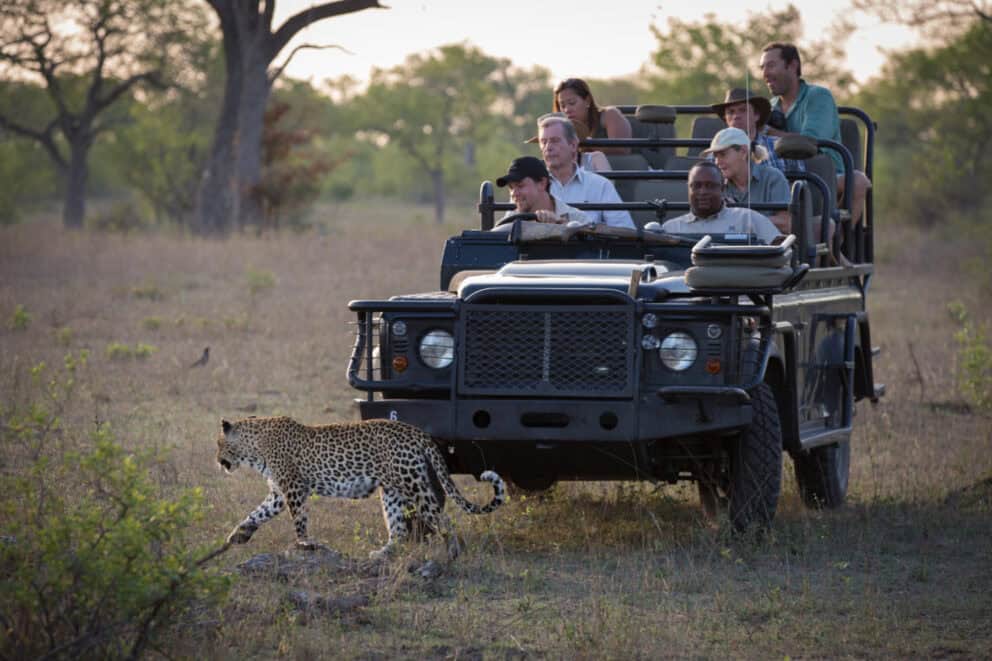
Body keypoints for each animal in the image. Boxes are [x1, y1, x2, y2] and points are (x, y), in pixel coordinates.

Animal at [216, 416, 505, 560]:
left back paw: (454, 553)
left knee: (442, 518)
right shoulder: (278, 492)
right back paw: (381, 555)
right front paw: (239, 534)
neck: (255, 448)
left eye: (219, 444)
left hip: (413, 483)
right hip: (392, 492)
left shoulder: (294, 488)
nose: (217, 461)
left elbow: (298, 520)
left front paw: (304, 544)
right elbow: (257, 513)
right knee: (399, 530)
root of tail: (416, 432)